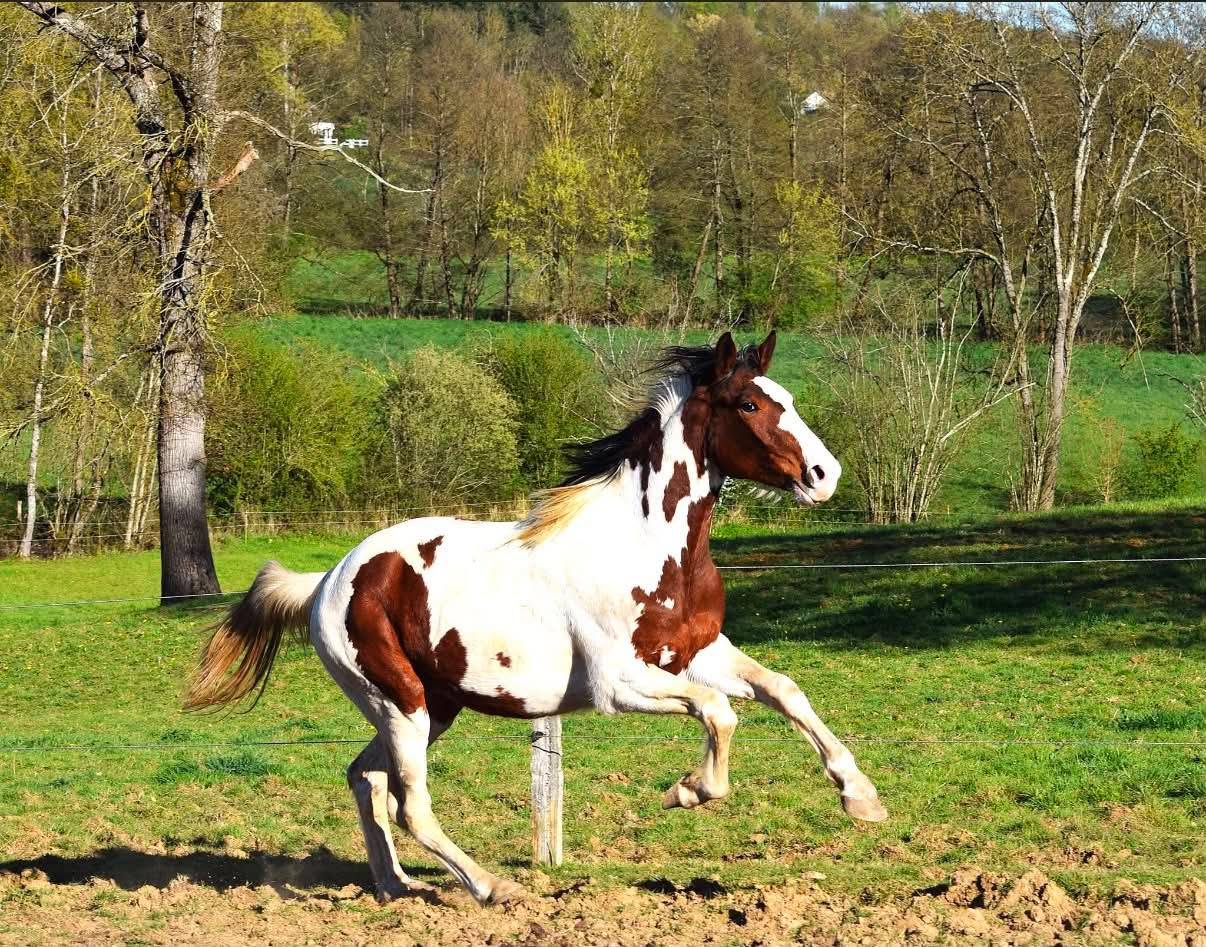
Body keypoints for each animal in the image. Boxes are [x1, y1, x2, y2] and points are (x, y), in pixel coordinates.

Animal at [184, 331, 887, 906]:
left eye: (785, 397)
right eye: (749, 406)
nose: (824, 475)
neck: (646, 544)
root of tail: (329, 580)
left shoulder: (697, 652)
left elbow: (783, 690)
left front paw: (861, 797)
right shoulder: (620, 684)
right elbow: (720, 712)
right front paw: (687, 790)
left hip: (431, 706)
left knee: (366, 777)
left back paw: (395, 886)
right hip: (400, 702)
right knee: (411, 804)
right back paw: (493, 887)